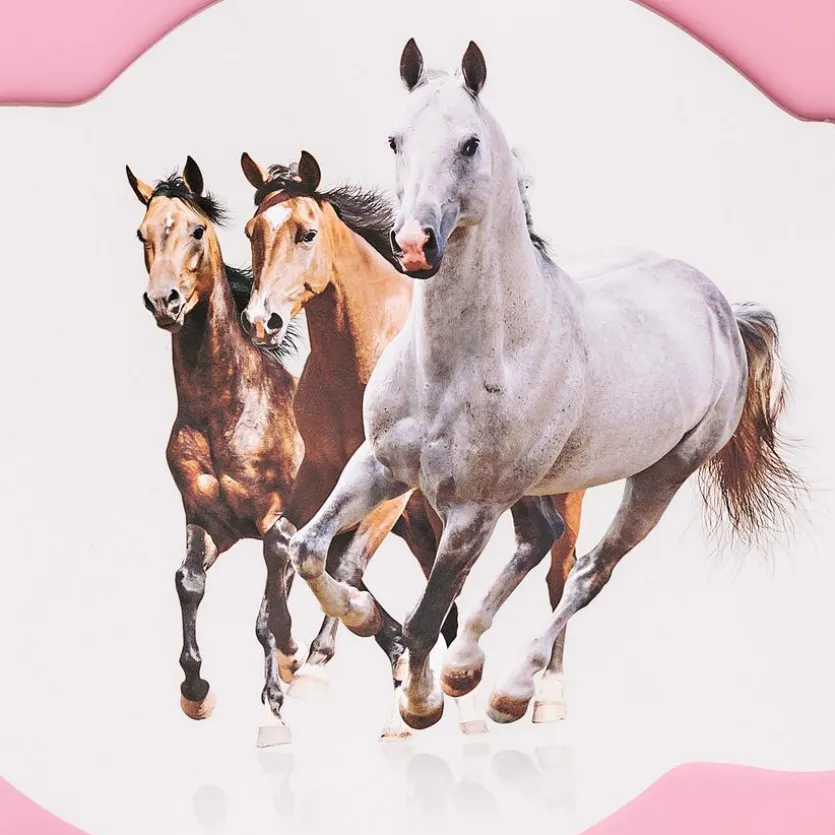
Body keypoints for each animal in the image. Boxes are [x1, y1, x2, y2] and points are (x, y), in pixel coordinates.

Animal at [126, 157, 318, 745]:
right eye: (142, 233)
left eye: (195, 230)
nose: (163, 301)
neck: (224, 413)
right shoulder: (208, 522)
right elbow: (187, 584)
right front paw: (196, 692)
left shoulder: (278, 523)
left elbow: (266, 616)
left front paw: (275, 704)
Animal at [238, 151, 587, 732]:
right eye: (252, 232)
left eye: (307, 233)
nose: (261, 321)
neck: (356, 352)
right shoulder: (322, 473)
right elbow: (282, 540)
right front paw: (286, 655)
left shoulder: (394, 490)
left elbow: (346, 566)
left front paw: (317, 667)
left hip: (558, 496)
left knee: (561, 571)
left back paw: (546, 695)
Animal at [286, 40, 803, 731]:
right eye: (396, 140)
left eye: (470, 143)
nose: (415, 245)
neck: (454, 368)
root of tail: (721, 306)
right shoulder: (380, 465)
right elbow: (310, 549)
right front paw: (364, 622)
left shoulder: (472, 512)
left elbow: (426, 618)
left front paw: (420, 703)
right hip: (540, 482)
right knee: (542, 539)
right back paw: (466, 666)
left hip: (661, 478)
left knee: (588, 572)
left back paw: (511, 690)